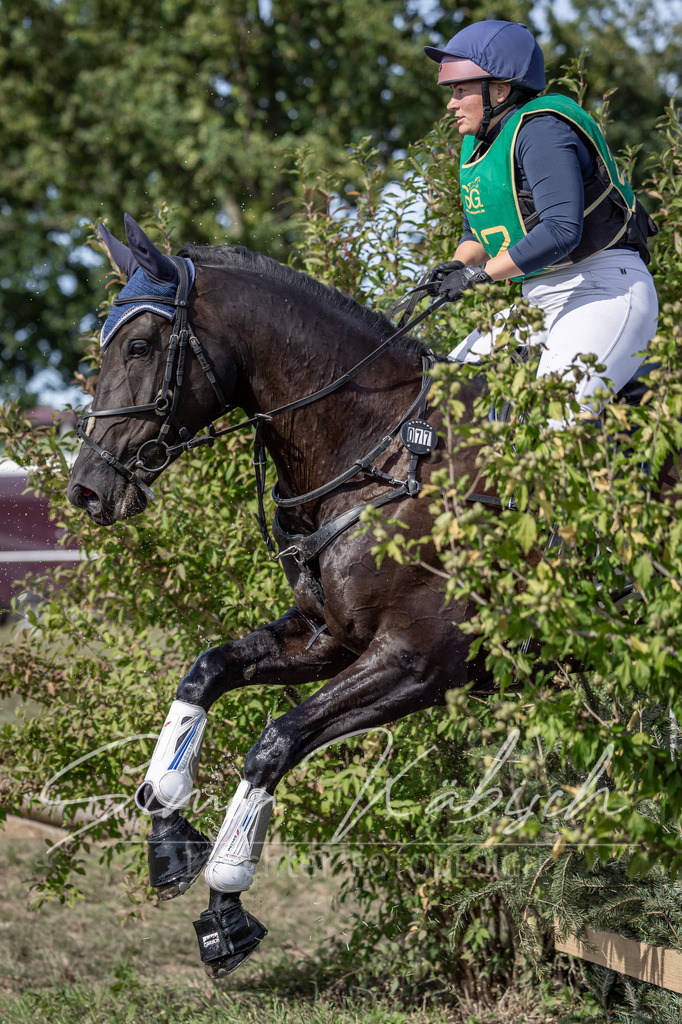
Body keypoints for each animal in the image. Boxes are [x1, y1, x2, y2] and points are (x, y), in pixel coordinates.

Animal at [64, 214, 511, 977]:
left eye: (141, 344)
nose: (88, 490)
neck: (376, 452)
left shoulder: (420, 661)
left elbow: (274, 743)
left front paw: (224, 909)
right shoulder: (328, 636)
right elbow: (205, 672)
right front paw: (168, 834)